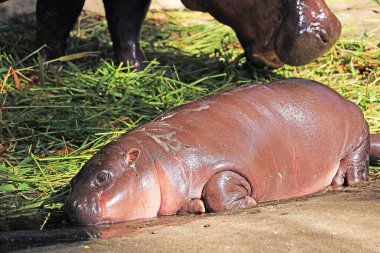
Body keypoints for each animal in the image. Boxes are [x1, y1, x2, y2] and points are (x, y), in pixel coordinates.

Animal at [63, 79, 378, 225]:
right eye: (72, 182)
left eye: (103, 177)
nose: (71, 207)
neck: (155, 157)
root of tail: (345, 98)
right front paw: (194, 206)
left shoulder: (226, 166)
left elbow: (219, 186)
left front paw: (247, 202)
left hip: (354, 129)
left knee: (359, 146)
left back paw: (346, 180)